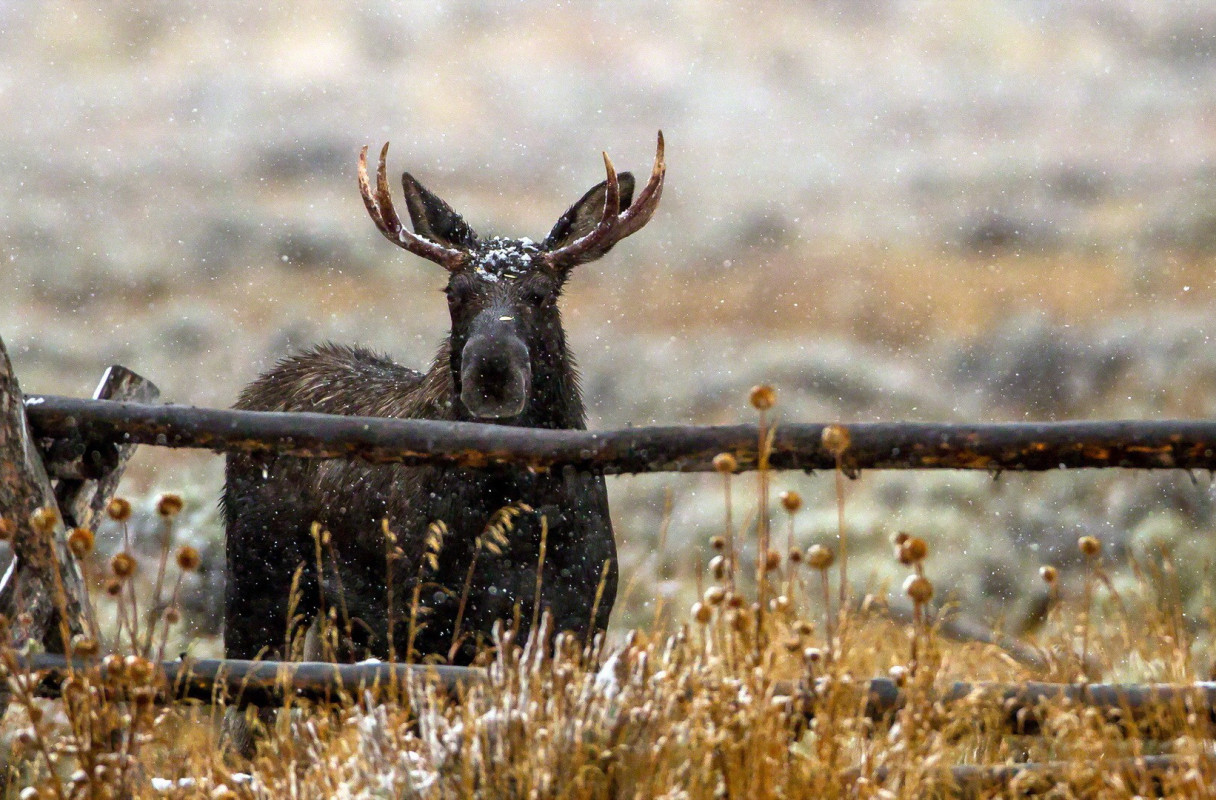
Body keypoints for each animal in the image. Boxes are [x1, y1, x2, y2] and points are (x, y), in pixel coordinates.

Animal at [218, 135, 666, 680]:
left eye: (540, 294)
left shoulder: (580, 620)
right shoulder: (417, 614)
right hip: (262, 578)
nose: (491, 372)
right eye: (456, 294)